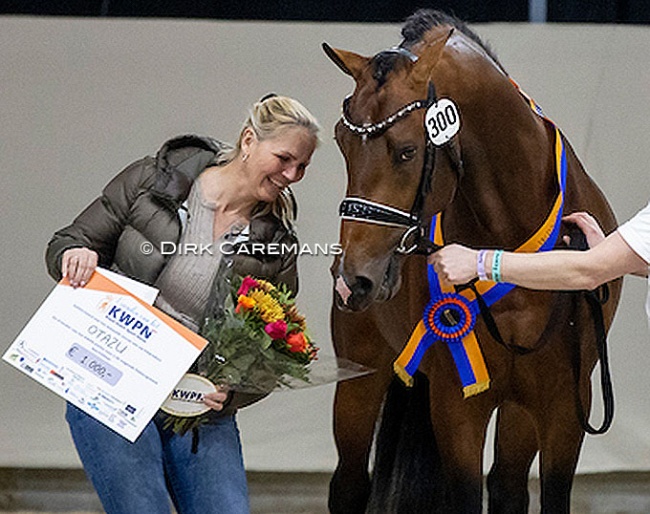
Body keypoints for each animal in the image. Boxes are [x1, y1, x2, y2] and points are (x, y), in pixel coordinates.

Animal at [324, 9, 616, 512]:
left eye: (407, 150)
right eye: (343, 141)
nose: (353, 281)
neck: (512, 248)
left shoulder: (565, 407)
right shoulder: (457, 406)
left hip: (519, 410)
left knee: (508, 486)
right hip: (359, 378)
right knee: (349, 483)